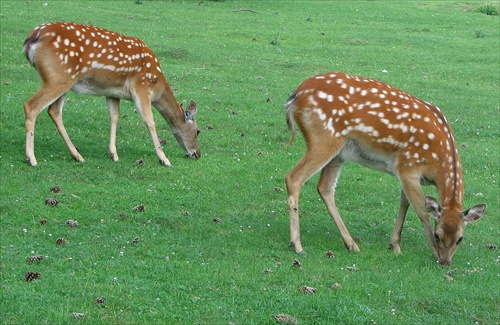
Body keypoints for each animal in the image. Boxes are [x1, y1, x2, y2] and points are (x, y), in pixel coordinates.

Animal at [22, 22, 199, 167]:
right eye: (198, 131)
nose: (197, 154)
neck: (157, 84)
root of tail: (30, 40)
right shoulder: (141, 86)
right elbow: (149, 121)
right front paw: (164, 159)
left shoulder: (113, 92)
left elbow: (114, 116)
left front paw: (113, 154)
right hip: (59, 77)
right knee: (31, 105)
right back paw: (31, 158)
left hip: (64, 80)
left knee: (54, 111)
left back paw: (77, 155)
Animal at [286, 71, 484, 264]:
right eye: (437, 235)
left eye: (460, 238)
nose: (445, 262)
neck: (438, 163)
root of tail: (294, 96)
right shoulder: (408, 165)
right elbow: (422, 212)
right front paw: (433, 253)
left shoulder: (407, 172)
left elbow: (404, 203)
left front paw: (394, 245)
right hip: (324, 138)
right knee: (293, 178)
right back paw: (297, 245)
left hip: (339, 153)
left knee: (325, 188)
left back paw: (351, 244)